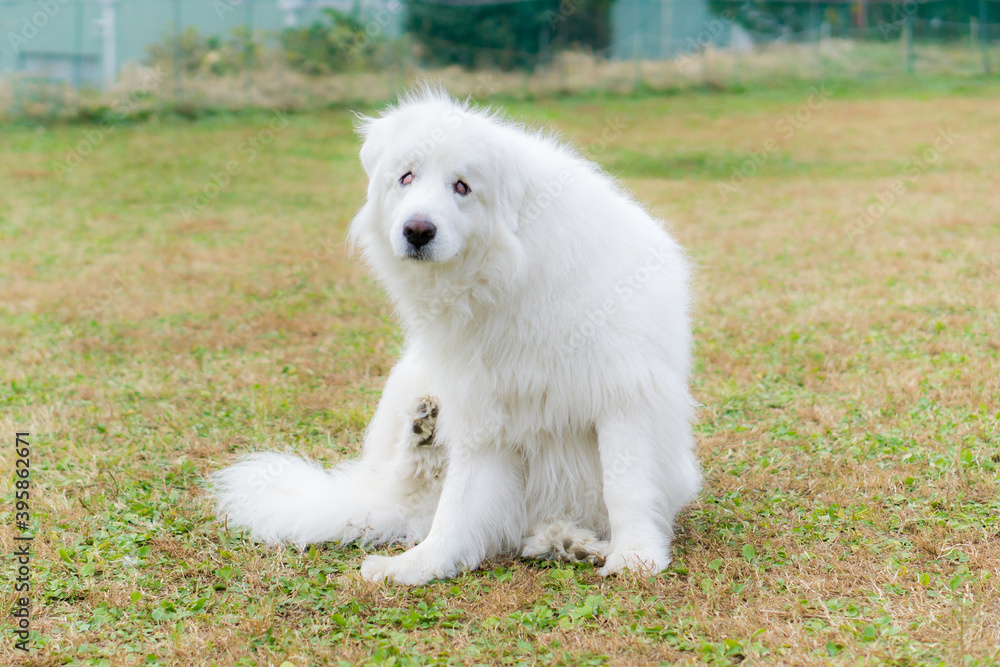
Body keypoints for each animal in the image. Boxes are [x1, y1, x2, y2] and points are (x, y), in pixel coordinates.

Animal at [213, 90, 696, 584]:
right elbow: (458, 506)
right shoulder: (481, 412)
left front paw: (635, 555)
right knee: (414, 492)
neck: (506, 272)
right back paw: (423, 434)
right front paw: (425, 564)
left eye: (461, 187)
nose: (417, 230)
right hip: (411, 380)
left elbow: (626, 484)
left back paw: (569, 540)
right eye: (406, 177)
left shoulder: (624, 395)